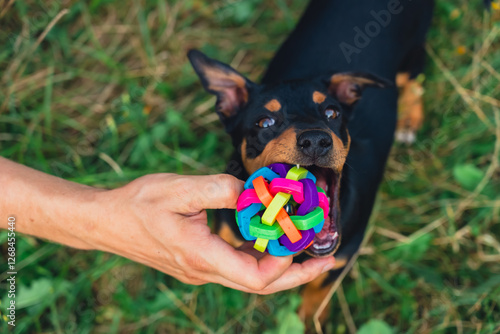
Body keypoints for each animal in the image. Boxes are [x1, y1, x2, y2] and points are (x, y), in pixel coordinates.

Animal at [188, 0, 434, 328]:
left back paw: (408, 119)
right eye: (265, 122)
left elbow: (319, 291)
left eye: (331, 112)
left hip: (413, 49)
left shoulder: (342, 257)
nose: (316, 140)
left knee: (414, 80)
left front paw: (310, 321)